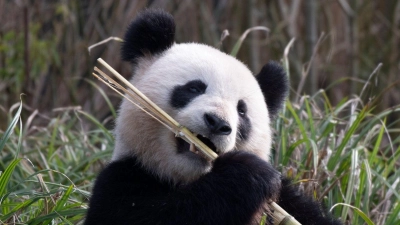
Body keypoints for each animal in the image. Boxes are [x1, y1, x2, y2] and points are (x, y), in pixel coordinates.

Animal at [86, 9, 342, 225]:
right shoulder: (122, 180)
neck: (185, 178)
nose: (217, 123)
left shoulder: (286, 200)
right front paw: (245, 175)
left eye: (242, 111)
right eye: (194, 88)